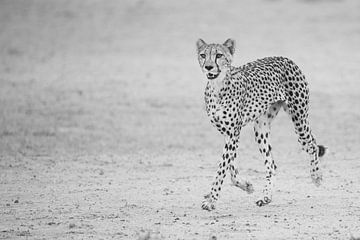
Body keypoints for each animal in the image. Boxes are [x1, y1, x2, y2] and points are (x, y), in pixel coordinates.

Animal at [195, 38, 328, 211]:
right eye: (203, 55)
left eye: (218, 55)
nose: (209, 67)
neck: (218, 86)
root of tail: (284, 58)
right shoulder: (228, 134)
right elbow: (231, 169)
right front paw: (246, 186)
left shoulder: (233, 133)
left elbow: (222, 169)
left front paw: (211, 200)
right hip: (261, 128)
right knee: (272, 164)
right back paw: (266, 197)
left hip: (299, 119)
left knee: (312, 144)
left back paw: (316, 175)